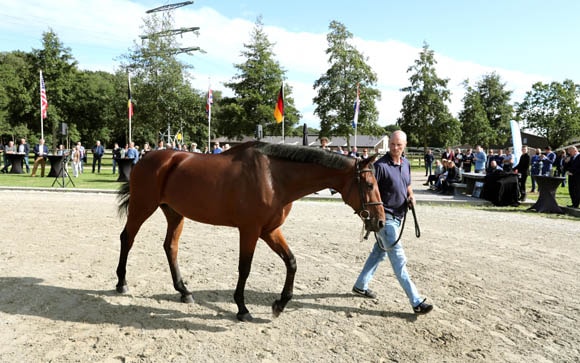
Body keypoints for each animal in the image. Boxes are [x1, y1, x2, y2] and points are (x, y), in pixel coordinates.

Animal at [115, 141, 382, 322]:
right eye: (370, 184)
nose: (380, 221)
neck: (274, 177)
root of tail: (146, 157)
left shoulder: (270, 230)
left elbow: (291, 262)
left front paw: (280, 304)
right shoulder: (250, 230)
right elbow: (245, 268)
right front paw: (242, 308)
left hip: (174, 213)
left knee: (170, 246)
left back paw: (184, 291)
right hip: (142, 207)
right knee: (127, 238)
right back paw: (121, 283)